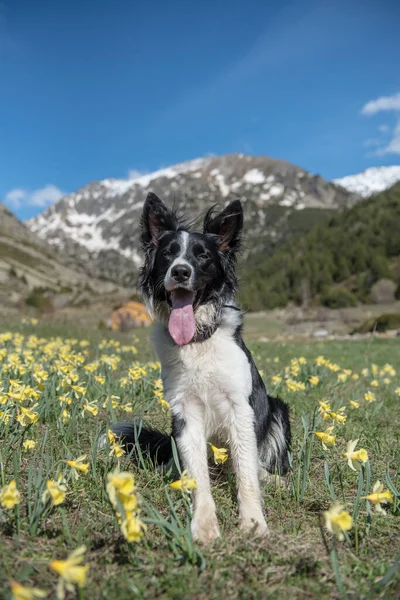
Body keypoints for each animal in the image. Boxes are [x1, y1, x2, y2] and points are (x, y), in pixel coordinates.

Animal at [112, 192, 290, 544]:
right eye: (168, 253)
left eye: (203, 256)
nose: (181, 272)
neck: (197, 341)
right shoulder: (184, 412)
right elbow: (198, 476)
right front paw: (204, 524)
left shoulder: (240, 408)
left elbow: (247, 472)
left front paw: (253, 521)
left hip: (277, 409)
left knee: (256, 464)